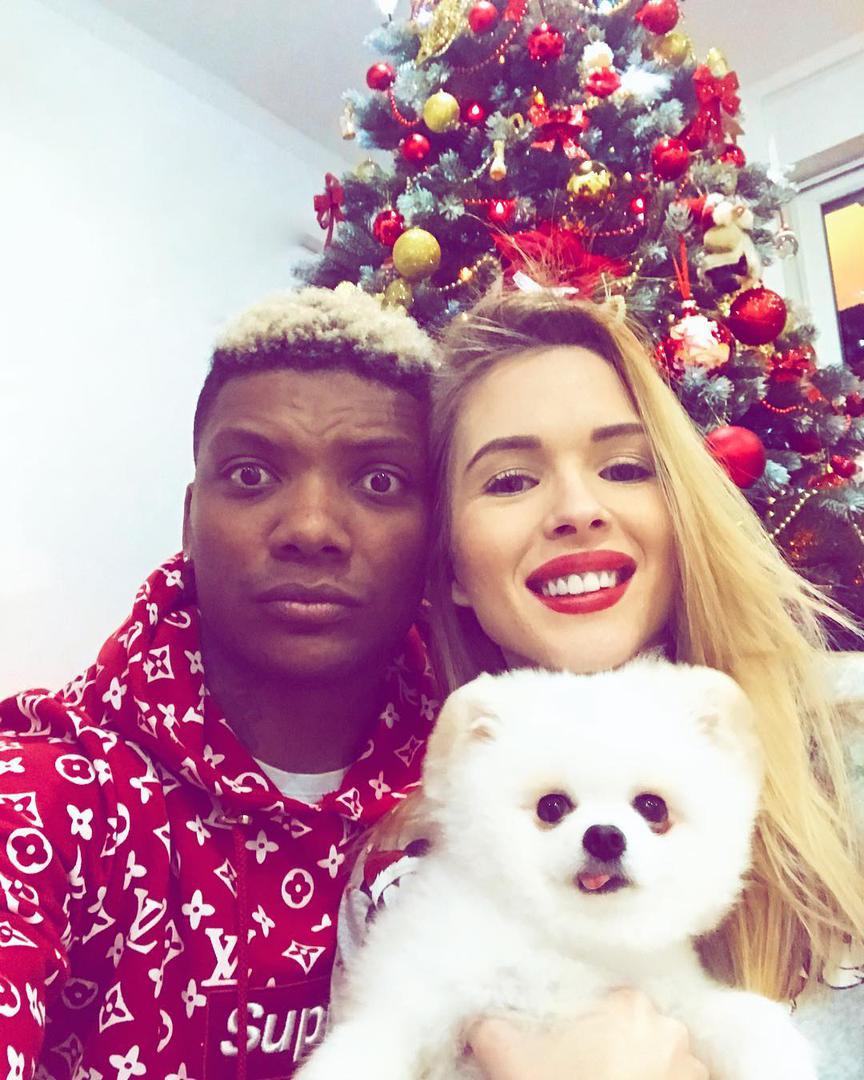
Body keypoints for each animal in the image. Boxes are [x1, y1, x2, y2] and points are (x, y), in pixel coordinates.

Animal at [297, 659, 817, 1080]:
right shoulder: (421, 992)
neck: (565, 948)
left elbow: (727, 1017)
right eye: (551, 807)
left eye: (652, 807)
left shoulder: (672, 1000)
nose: (605, 836)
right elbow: (377, 1041)